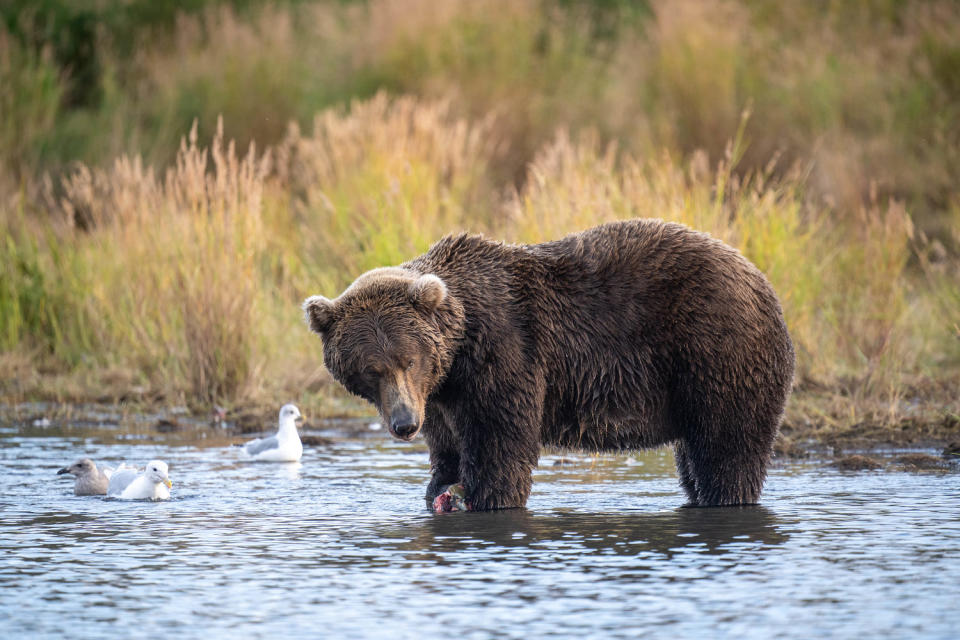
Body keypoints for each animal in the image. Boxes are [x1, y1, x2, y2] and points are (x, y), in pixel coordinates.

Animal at [306, 219, 796, 510]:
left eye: (408, 359)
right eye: (370, 369)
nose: (404, 424)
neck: (458, 353)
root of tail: (759, 278)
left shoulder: (506, 354)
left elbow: (500, 445)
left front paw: (484, 497)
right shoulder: (443, 397)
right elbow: (447, 449)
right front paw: (440, 489)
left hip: (717, 351)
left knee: (725, 450)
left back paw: (724, 497)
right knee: (695, 456)